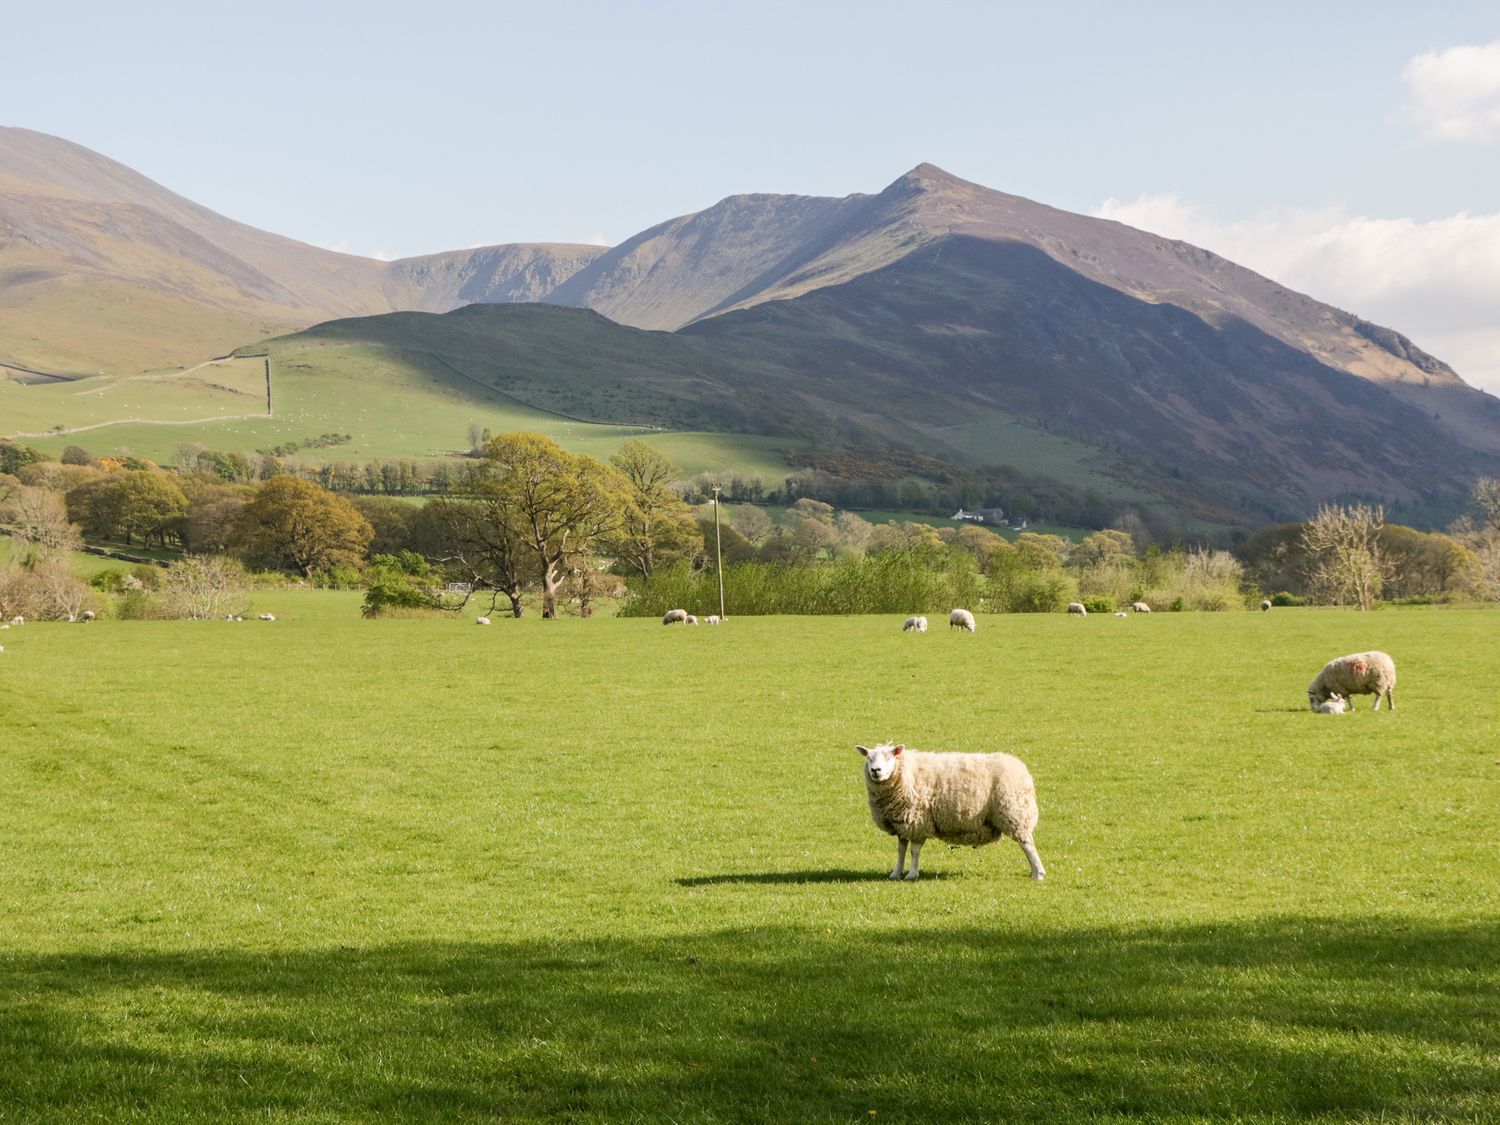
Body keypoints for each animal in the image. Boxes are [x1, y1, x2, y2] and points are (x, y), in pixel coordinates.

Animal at [858, 744, 1044, 888]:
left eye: (889, 757)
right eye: (869, 758)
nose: (875, 770)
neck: (906, 773)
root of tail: (1021, 769)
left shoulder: (918, 821)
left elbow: (914, 851)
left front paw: (912, 874)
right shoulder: (903, 823)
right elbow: (901, 850)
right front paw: (896, 873)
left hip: (1014, 812)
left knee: (1027, 844)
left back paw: (1038, 873)